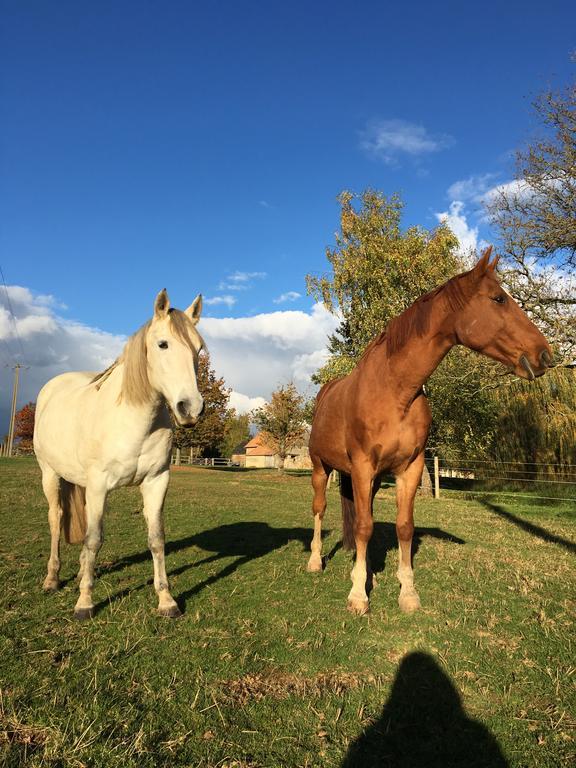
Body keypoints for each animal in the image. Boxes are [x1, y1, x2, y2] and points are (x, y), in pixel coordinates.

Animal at [33, 292, 205, 620]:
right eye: (163, 344)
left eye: (199, 349)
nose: (190, 409)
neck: (132, 418)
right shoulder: (99, 485)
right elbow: (94, 538)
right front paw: (85, 603)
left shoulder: (156, 481)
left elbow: (156, 539)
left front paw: (167, 601)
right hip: (50, 474)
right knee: (55, 518)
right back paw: (51, 579)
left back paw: (79, 572)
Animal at [308, 249, 552, 616]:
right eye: (498, 298)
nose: (544, 355)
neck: (394, 391)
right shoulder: (363, 466)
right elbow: (364, 527)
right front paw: (358, 596)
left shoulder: (409, 468)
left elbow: (403, 527)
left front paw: (407, 593)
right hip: (321, 468)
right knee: (320, 508)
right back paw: (315, 561)